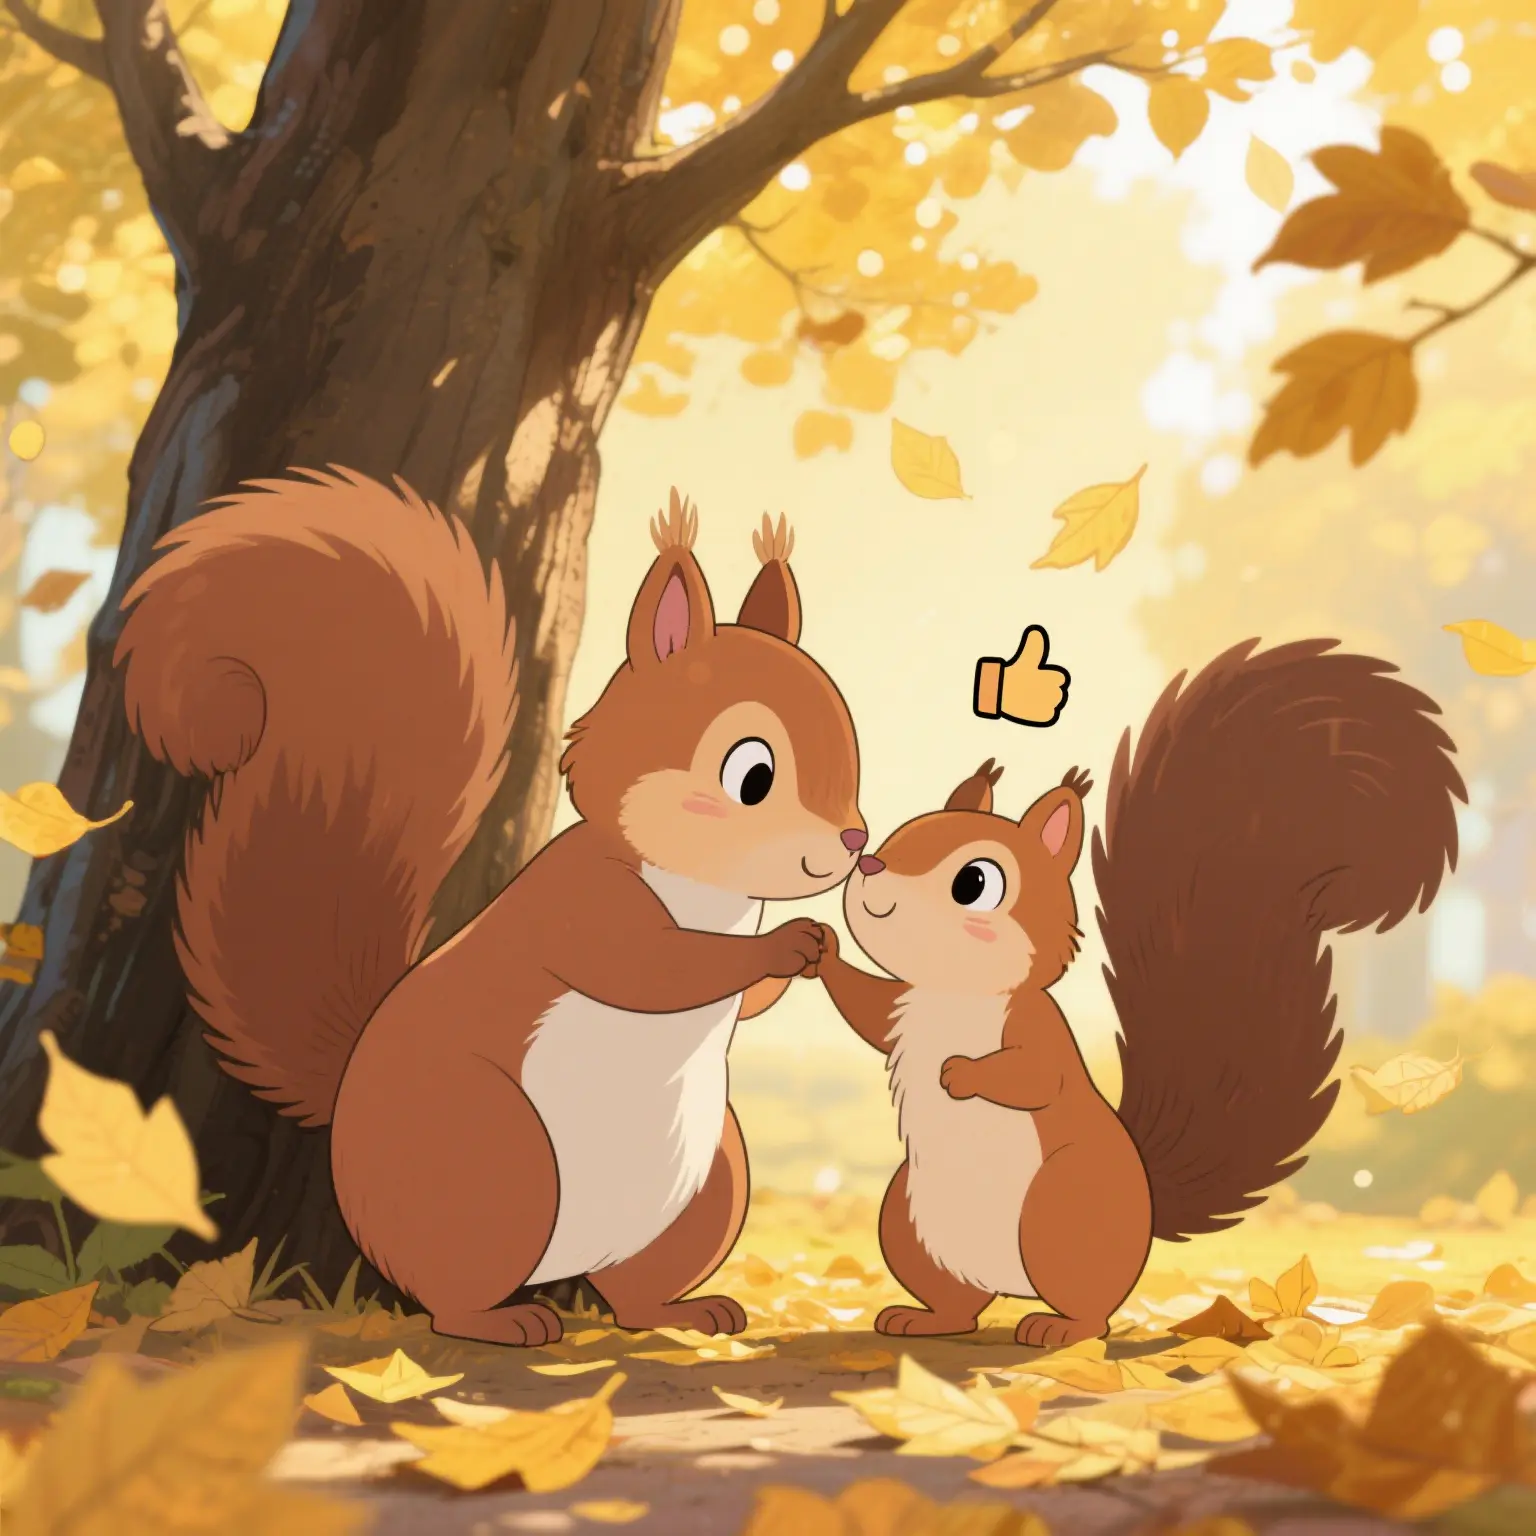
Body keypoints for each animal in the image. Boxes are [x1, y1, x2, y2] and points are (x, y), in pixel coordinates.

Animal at [116, 467, 866, 1347]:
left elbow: (737, 1004)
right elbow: (656, 970)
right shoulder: (579, 903)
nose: (854, 841)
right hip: (494, 1157)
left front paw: (809, 948)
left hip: (709, 1184)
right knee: (450, 1298)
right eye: (751, 775)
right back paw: (505, 1321)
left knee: (631, 1291)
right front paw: (785, 943)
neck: (705, 888)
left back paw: (680, 1310)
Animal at [810, 639, 1464, 1350]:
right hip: (907, 1223)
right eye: (897, 836)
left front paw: (962, 1073)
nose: (868, 866)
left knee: (1090, 1310)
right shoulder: (903, 1007)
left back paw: (1057, 1331)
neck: (953, 993)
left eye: (974, 882)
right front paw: (821, 949)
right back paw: (924, 1319)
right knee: (960, 1303)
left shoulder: (1037, 1029)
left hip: (1060, 1209)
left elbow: (1034, 1077)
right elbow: (867, 1011)